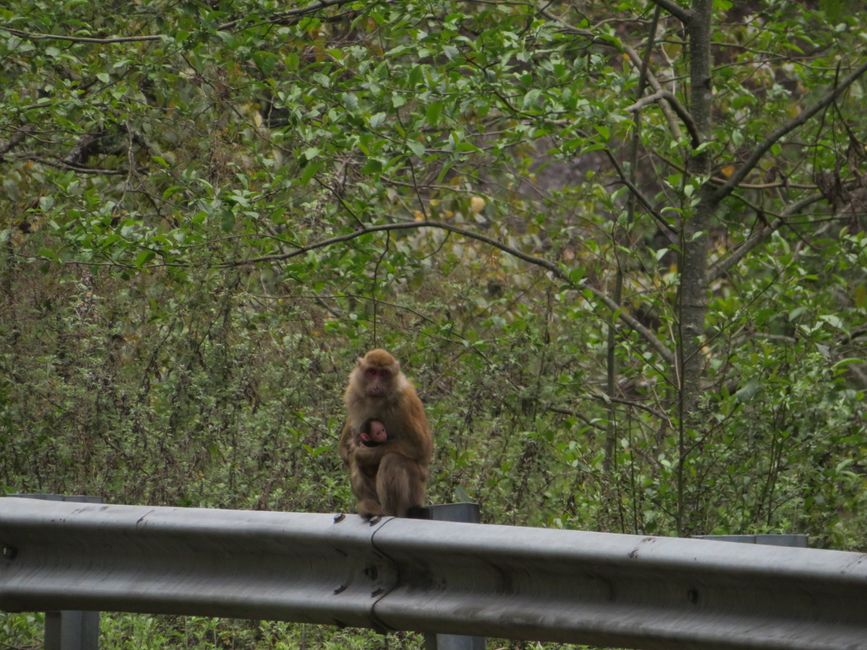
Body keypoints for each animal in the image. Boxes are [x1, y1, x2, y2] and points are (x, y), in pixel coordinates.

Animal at [340, 349, 433, 518]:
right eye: (372, 372)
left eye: (383, 373)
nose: (376, 386)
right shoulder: (353, 395)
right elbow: (346, 448)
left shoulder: (404, 404)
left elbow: (421, 448)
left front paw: (363, 454)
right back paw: (370, 506)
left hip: (416, 494)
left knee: (393, 459)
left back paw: (390, 511)